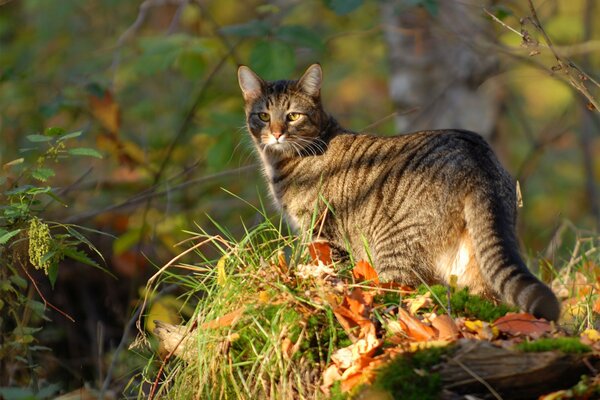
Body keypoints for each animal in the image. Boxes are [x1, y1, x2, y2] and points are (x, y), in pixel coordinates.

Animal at [237, 63, 560, 322]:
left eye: (293, 116)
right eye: (263, 116)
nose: (276, 132)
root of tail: (477, 156)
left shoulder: (320, 233)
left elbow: (327, 270)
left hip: (395, 249)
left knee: (408, 294)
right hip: (473, 259)